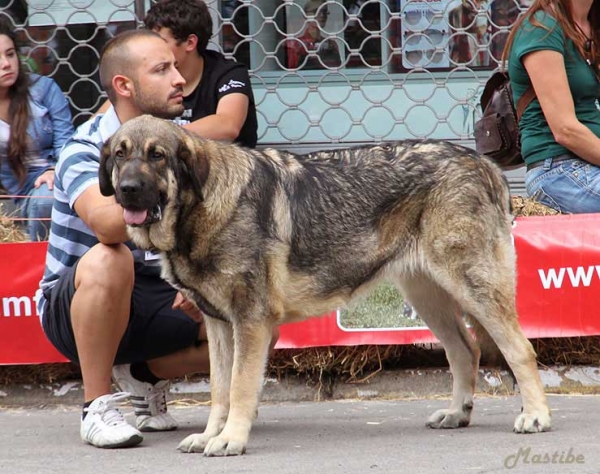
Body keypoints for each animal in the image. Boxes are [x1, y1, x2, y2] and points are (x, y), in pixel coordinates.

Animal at [99, 114, 552, 456]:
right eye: (120, 155)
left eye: (157, 156)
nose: (127, 190)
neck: (201, 207)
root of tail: (485, 165)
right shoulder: (220, 327)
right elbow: (220, 392)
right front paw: (213, 435)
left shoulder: (250, 324)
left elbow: (241, 388)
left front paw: (231, 440)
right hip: (429, 298)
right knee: (465, 351)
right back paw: (457, 413)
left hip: (473, 288)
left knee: (519, 350)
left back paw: (536, 416)